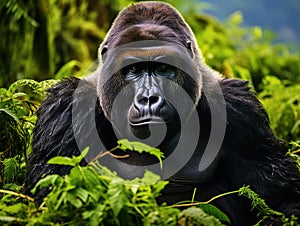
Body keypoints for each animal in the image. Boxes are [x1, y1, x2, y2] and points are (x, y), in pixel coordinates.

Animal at [24, 0, 298, 225]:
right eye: (134, 69)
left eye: (164, 68)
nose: (148, 99)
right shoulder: (67, 108)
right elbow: (50, 198)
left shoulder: (241, 111)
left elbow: (281, 200)